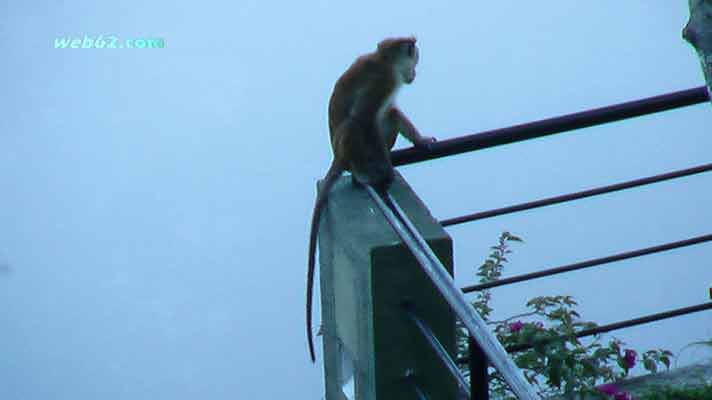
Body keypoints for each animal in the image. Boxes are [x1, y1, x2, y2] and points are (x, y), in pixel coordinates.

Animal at [304, 37, 434, 362]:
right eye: (414, 59)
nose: (414, 73)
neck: (383, 60)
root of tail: (340, 158)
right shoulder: (382, 81)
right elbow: (363, 118)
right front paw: (385, 169)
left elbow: (387, 114)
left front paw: (421, 142)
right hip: (351, 148)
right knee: (358, 124)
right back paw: (370, 172)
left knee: (390, 114)